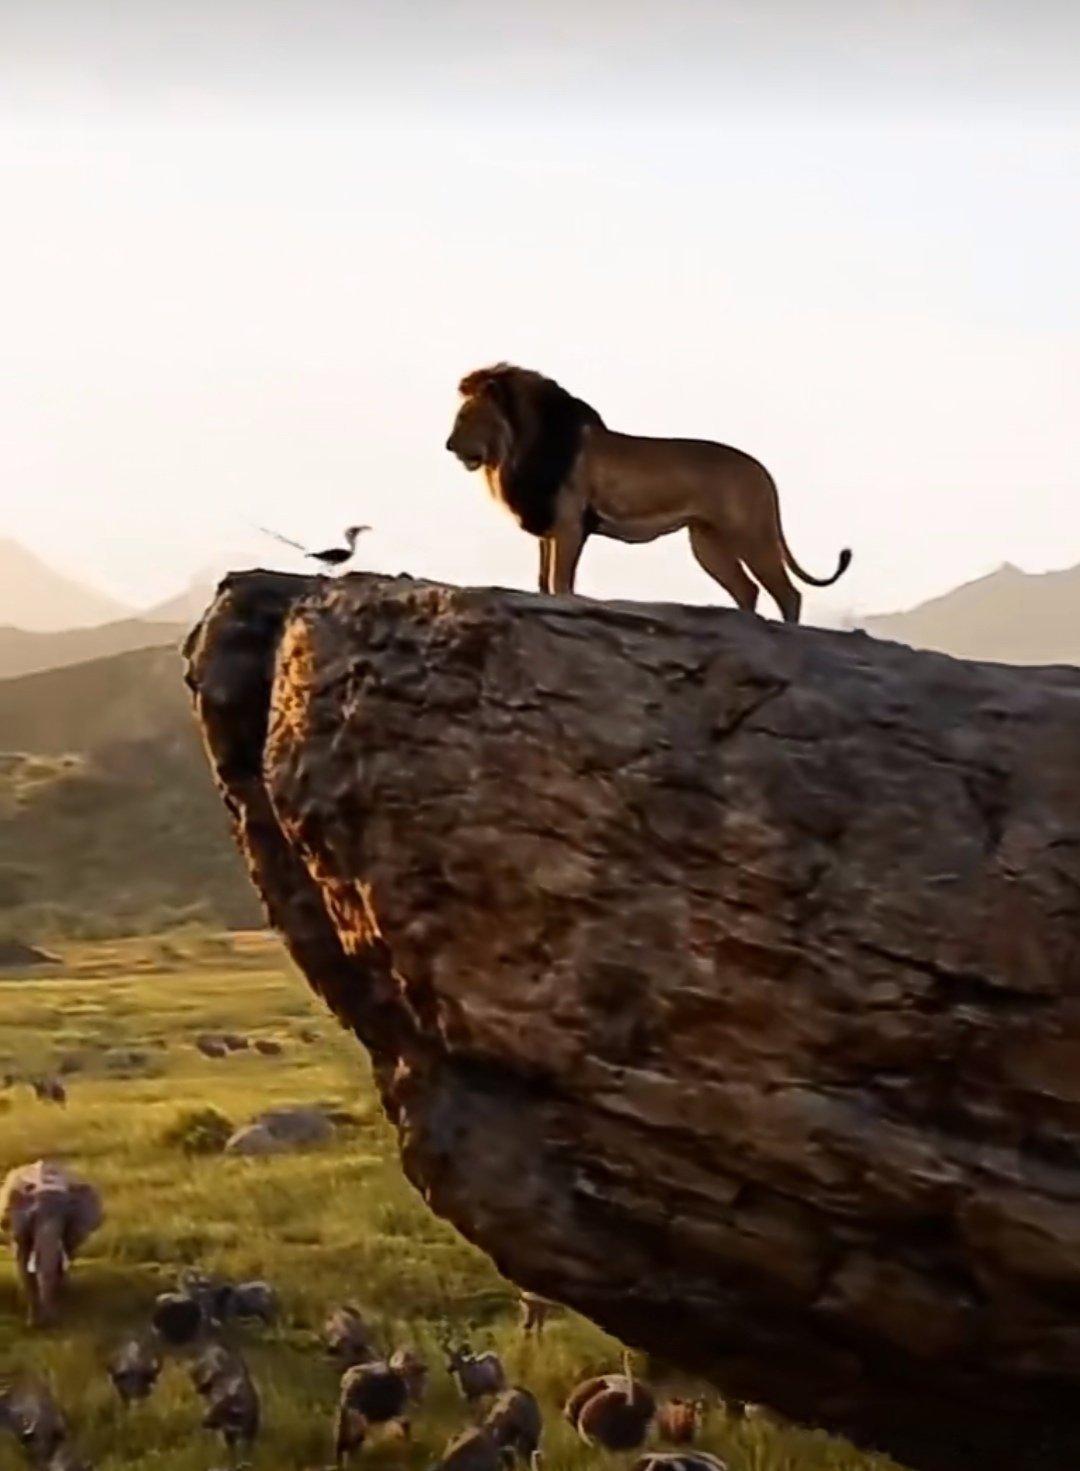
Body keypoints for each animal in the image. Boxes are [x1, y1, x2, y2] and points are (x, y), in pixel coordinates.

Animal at [0, 1165, 102, 1329]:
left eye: (65, 1218)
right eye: (32, 1218)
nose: (50, 1323)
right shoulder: (16, 1223)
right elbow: (23, 1260)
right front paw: (32, 1323)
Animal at [444, 367, 847, 626]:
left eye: (465, 417)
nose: (448, 445)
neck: (514, 451)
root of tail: (763, 471)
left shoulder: (570, 525)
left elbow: (561, 584)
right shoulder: (548, 527)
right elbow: (542, 581)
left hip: (751, 534)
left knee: (788, 593)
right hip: (708, 543)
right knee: (747, 590)